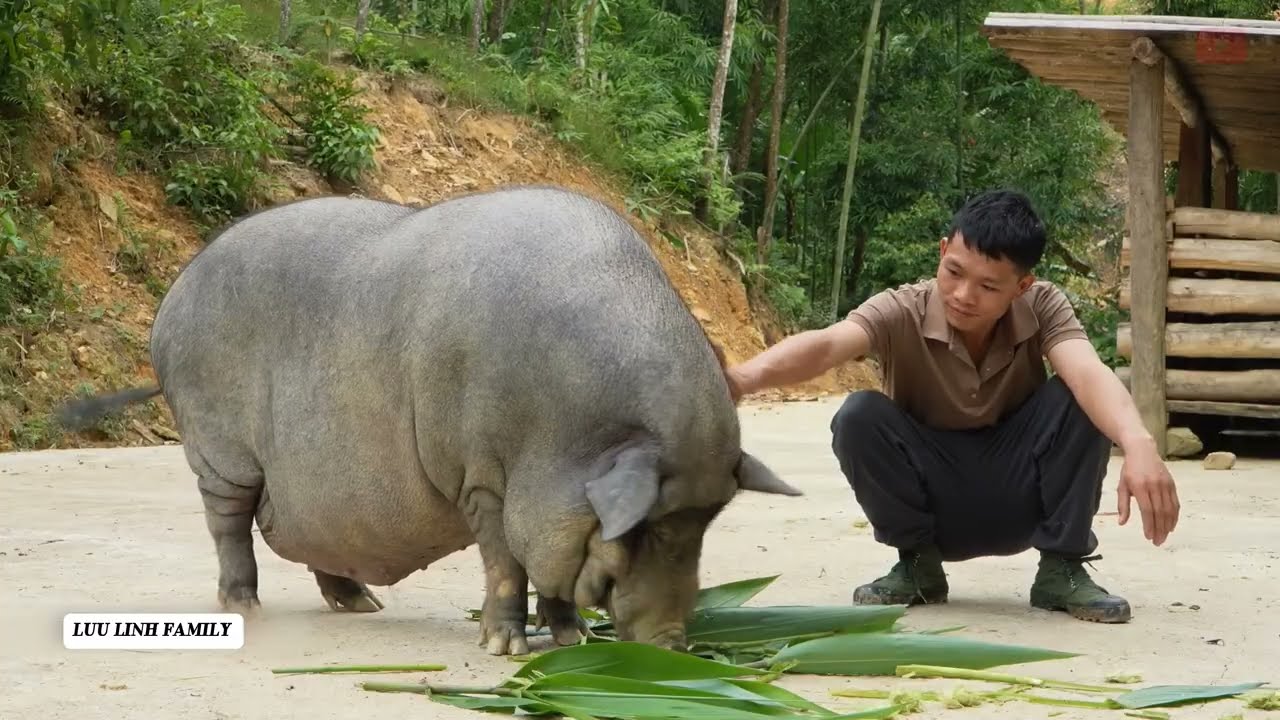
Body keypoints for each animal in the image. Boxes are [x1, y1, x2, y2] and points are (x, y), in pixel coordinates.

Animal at [56, 185, 801, 656]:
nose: (674, 648)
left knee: (315, 535)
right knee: (229, 526)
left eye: (705, 522)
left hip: (313, 490)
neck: (561, 433)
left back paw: (363, 606)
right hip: (220, 450)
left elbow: (551, 569)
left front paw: (574, 640)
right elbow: (506, 560)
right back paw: (246, 610)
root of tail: (169, 301)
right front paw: (506, 648)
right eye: (649, 528)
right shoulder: (482, 477)